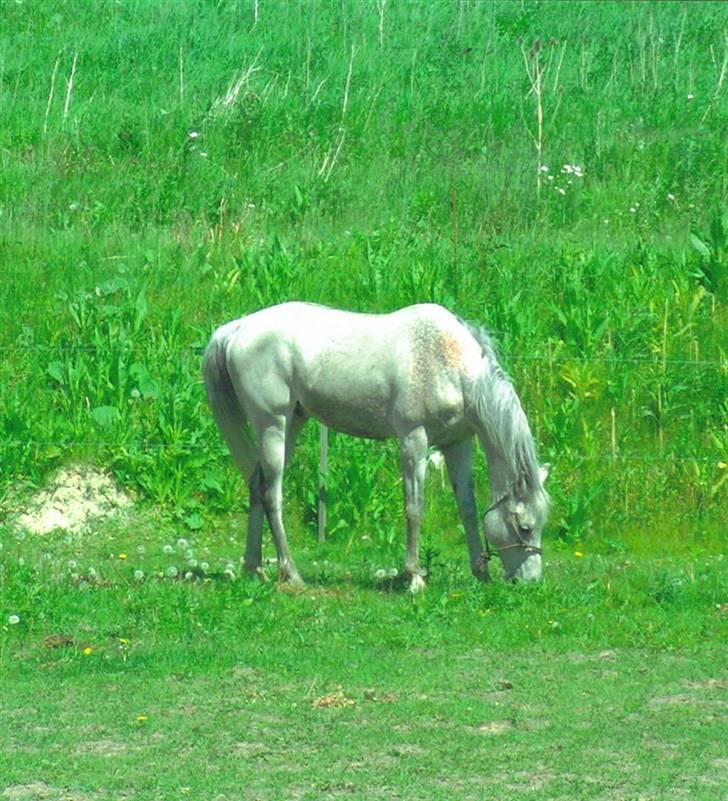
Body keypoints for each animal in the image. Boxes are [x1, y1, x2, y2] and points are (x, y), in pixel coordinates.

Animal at [202, 304, 548, 592]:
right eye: (524, 526)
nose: (530, 581)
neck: (447, 364)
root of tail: (237, 328)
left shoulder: (457, 443)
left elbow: (467, 508)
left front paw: (480, 572)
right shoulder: (413, 442)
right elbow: (414, 510)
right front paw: (414, 578)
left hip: (291, 424)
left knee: (256, 484)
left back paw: (254, 568)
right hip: (272, 426)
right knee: (271, 494)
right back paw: (292, 574)